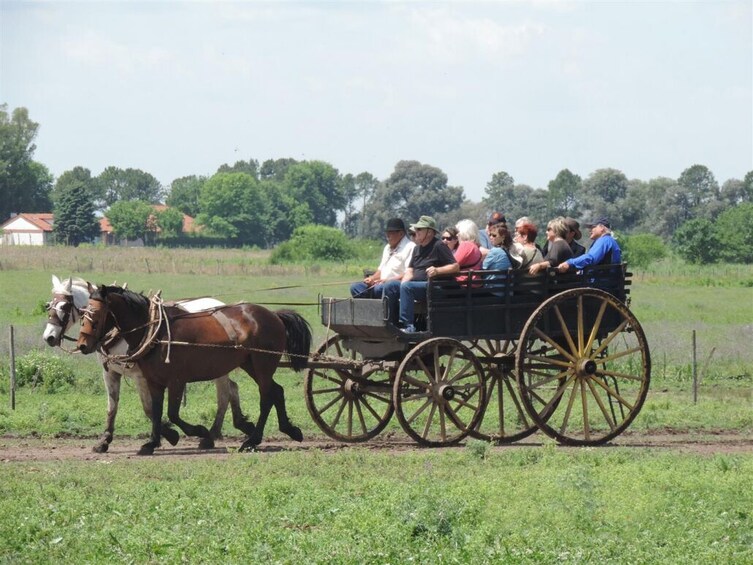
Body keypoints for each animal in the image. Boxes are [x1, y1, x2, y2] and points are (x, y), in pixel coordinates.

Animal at [43, 276, 250, 452]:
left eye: (64, 306)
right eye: (48, 306)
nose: (48, 337)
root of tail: (222, 305)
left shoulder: (140, 376)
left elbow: (148, 408)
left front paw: (170, 434)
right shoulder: (110, 372)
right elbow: (112, 407)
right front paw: (104, 441)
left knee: (224, 395)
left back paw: (211, 435)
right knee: (233, 388)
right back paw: (241, 424)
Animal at [75, 286, 310, 454]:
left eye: (95, 316)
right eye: (82, 314)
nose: (82, 345)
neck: (157, 331)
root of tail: (274, 315)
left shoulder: (177, 380)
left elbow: (172, 413)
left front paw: (197, 431)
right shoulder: (154, 381)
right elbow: (156, 410)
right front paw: (151, 443)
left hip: (263, 365)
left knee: (266, 397)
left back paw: (251, 440)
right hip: (251, 364)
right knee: (276, 392)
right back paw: (289, 430)